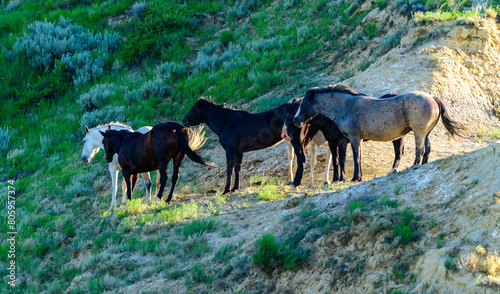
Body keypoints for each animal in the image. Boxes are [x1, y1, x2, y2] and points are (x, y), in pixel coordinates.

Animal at [292, 83, 464, 181]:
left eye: (304, 103)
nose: (295, 120)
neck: (346, 105)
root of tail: (433, 98)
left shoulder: (353, 138)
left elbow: (355, 157)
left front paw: (355, 177)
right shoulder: (356, 140)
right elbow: (357, 158)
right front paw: (357, 176)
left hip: (418, 132)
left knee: (419, 150)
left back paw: (413, 166)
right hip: (425, 134)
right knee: (427, 150)